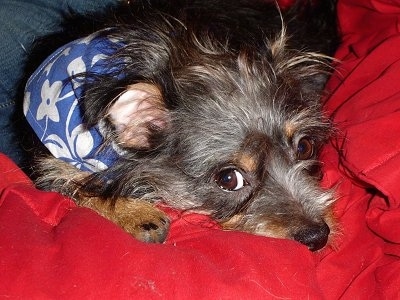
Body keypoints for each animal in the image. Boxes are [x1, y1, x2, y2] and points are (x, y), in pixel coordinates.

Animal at [23, 0, 338, 251]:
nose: (318, 236)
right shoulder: (50, 163)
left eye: (305, 147)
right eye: (229, 179)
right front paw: (134, 213)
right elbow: (77, 185)